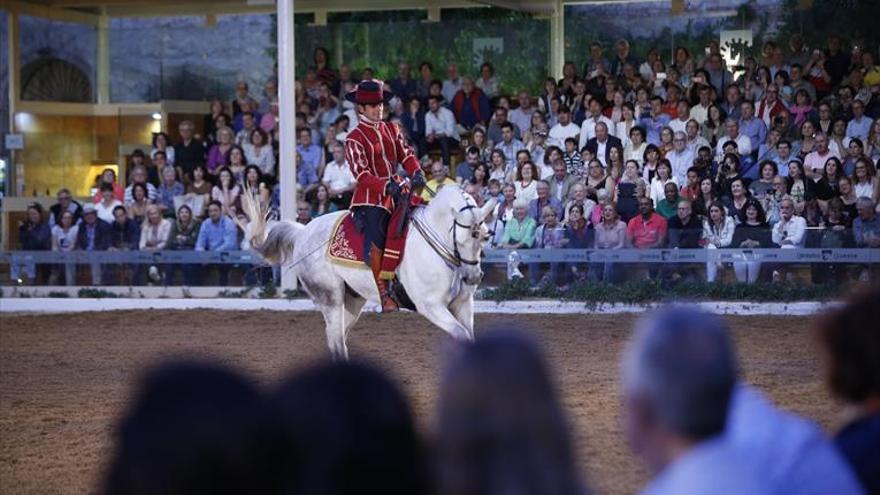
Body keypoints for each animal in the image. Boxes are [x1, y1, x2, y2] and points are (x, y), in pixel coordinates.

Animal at [241, 186, 496, 360]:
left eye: (484, 236)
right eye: (461, 238)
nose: (473, 277)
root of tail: (303, 232)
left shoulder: (463, 303)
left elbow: (470, 338)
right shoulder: (431, 306)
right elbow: (461, 334)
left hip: (353, 301)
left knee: (337, 338)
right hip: (331, 297)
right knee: (336, 340)